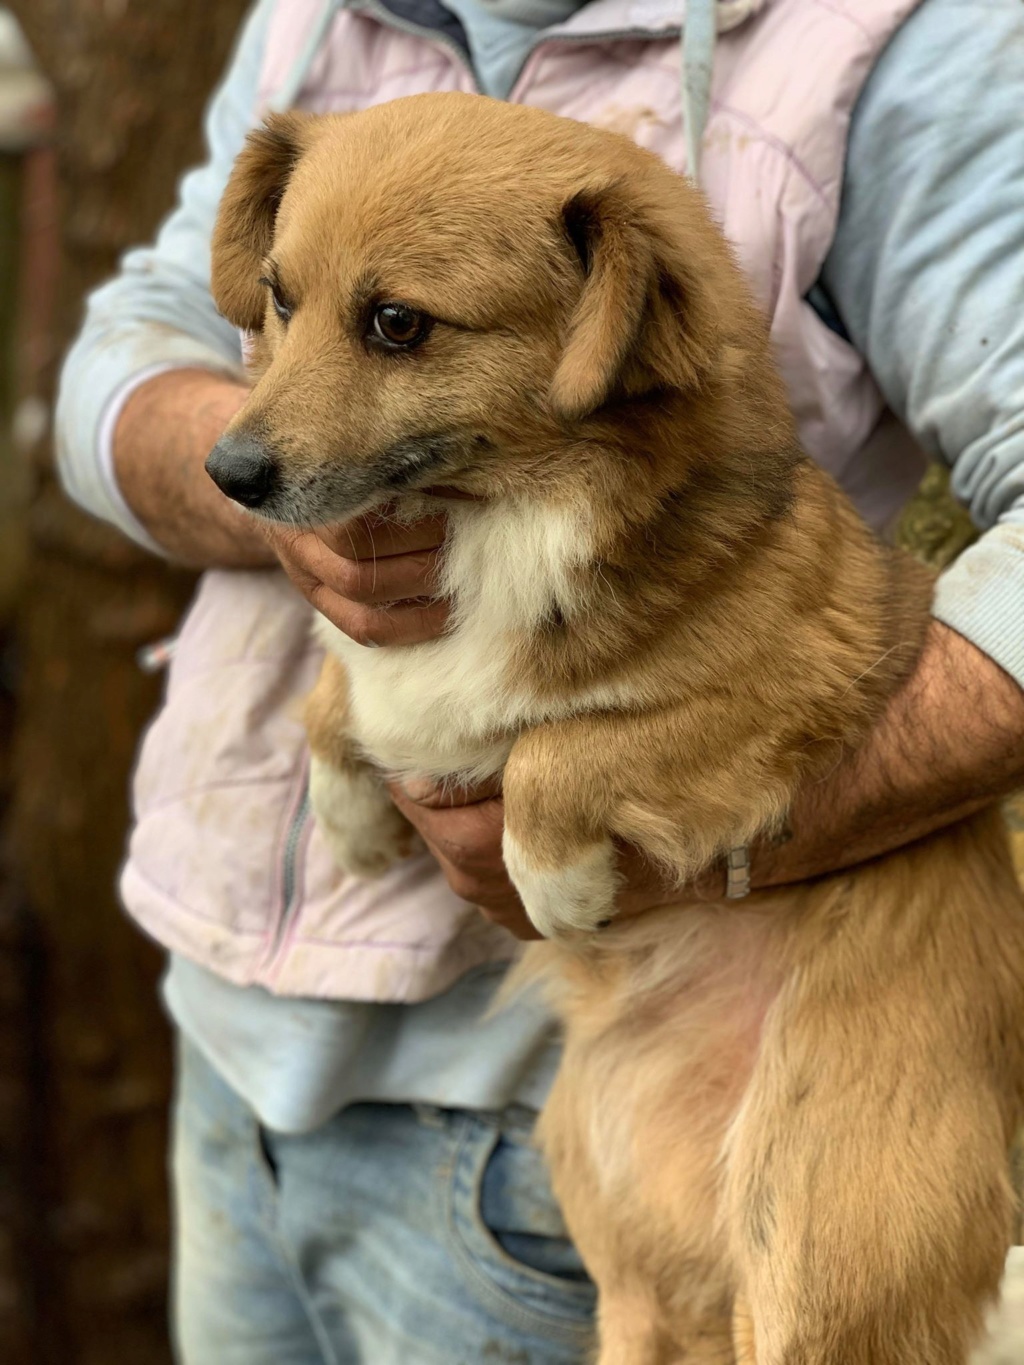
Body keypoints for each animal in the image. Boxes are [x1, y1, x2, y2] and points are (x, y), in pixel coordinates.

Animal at [204, 90, 1024, 1359]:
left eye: (396, 324)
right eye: (280, 298)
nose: (225, 474)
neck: (494, 520)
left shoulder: (814, 682)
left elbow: (564, 747)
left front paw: (555, 886)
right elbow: (337, 695)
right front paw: (350, 821)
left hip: (817, 1256)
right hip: (624, 1264)